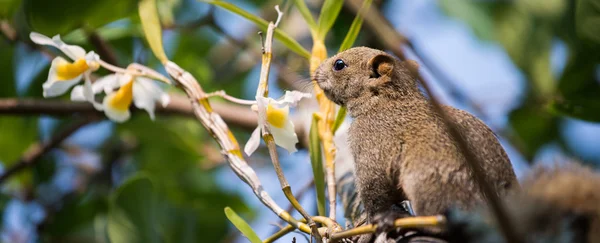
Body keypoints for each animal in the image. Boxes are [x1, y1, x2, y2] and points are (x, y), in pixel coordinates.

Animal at [312, 46, 516, 234]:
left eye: (339, 64)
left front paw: (375, 219)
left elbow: (374, 189)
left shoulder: (370, 142)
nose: (315, 72)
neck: (385, 102)